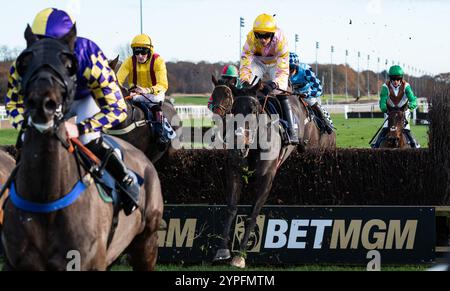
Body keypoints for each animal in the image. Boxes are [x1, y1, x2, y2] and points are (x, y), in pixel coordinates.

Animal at [210, 76, 334, 270]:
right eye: (234, 109)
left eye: (253, 110)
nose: (239, 146)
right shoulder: (234, 172)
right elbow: (231, 208)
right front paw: (222, 251)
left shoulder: (266, 178)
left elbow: (252, 214)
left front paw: (239, 256)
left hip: (316, 147)